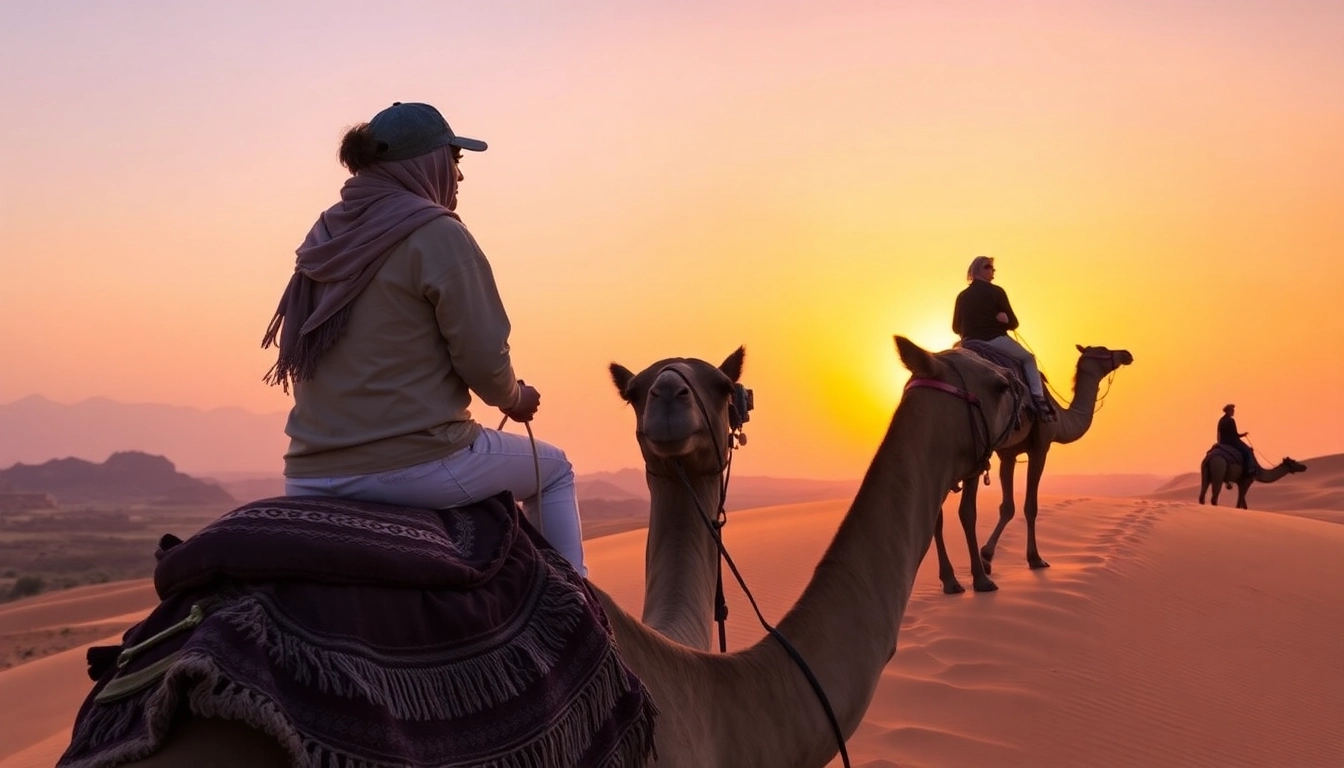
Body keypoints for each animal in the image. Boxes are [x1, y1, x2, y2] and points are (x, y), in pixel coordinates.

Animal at [932, 344, 1134, 594]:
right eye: (1104, 349)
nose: (1126, 354)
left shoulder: (1008, 454)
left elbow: (1007, 507)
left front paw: (988, 557)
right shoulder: (1040, 448)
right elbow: (1030, 506)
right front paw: (1034, 558)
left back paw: (950, 580)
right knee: (966, 511)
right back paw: (978, 580)